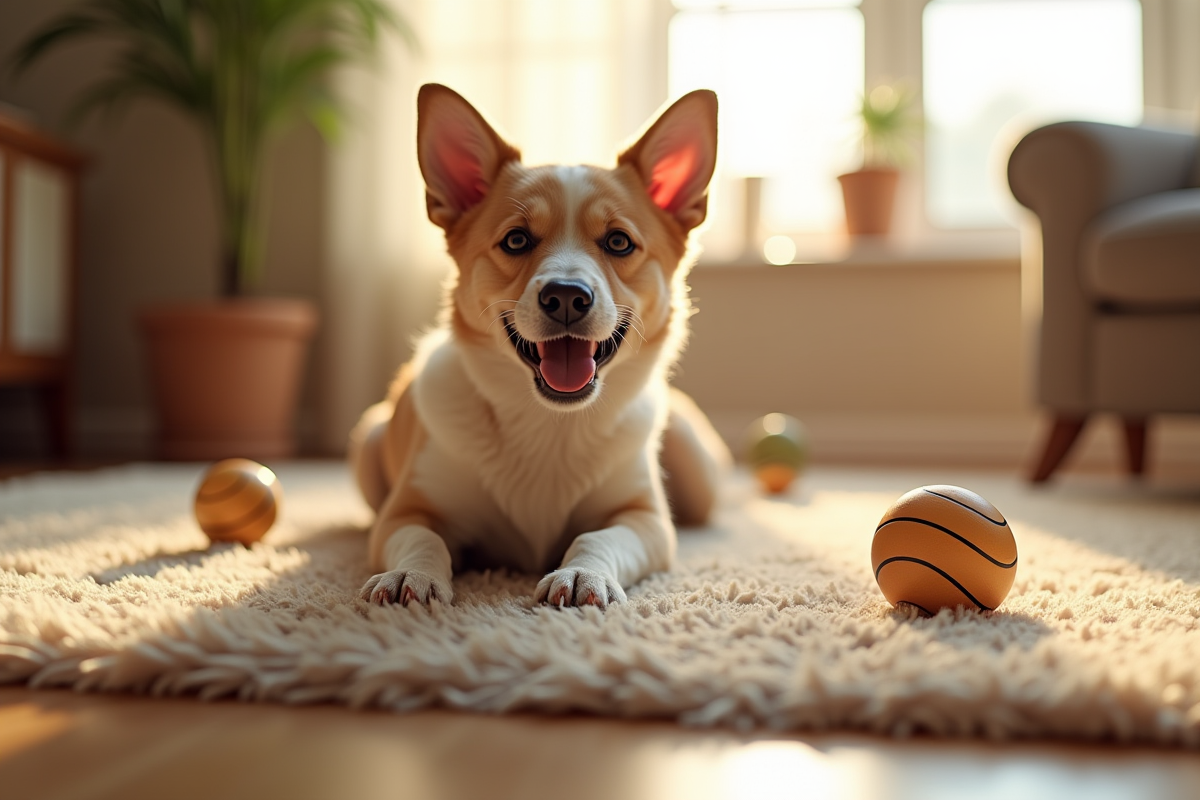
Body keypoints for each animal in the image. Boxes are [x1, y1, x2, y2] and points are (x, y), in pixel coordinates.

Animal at [350, 84, 724, 609]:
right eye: (516, 239)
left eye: (618, 242)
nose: (566, 296)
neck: (550, 424)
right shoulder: (403, 512)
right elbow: (423, 539)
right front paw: (412, 575)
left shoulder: (645, 521)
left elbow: (597, 537)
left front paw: (583, 574)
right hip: (368, 444)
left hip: (697, 469)